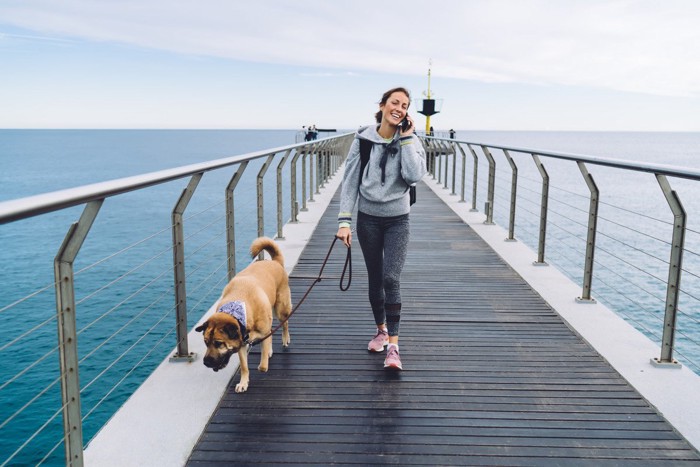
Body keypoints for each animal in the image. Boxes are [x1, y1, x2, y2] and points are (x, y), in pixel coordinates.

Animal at [196, 236, 292, 394]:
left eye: (218, 343)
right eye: (205, 342)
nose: (206, 362)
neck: (239, 308)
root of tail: (275, 262)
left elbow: (263, 366)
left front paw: (262, 364)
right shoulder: (241, 343)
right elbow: (244, 366)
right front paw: (243, 383)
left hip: (280, 309)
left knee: (284, 324)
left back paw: (285, 339)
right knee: (272, 331)